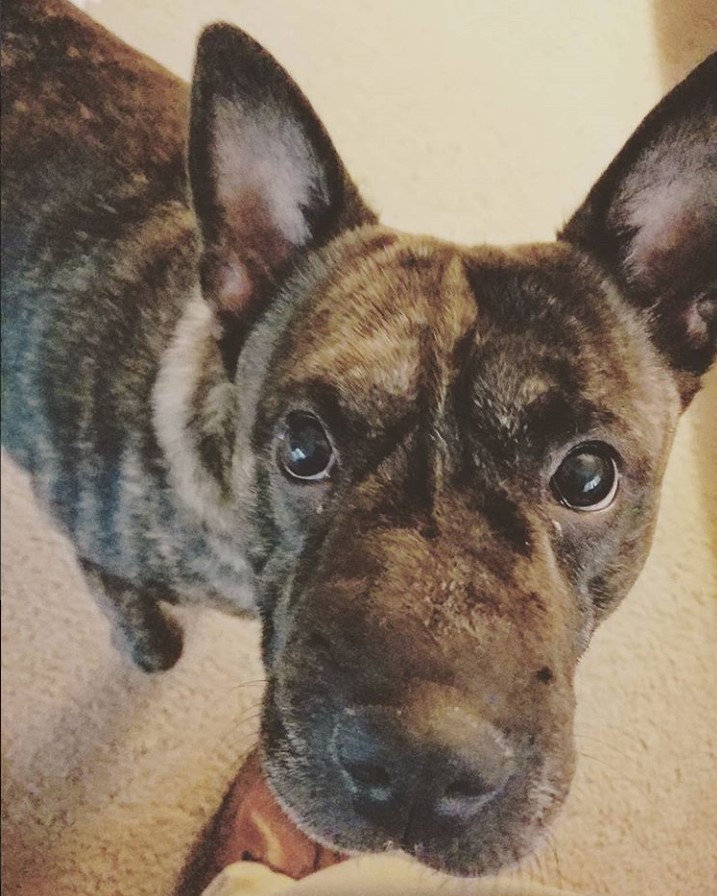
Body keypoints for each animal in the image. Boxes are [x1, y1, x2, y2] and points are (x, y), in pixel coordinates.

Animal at [1, 0, 716, 880]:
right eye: (303, 449)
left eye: (587, 476)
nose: (420, 767)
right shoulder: (100, 548)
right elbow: (141, 624)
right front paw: (149, 643)